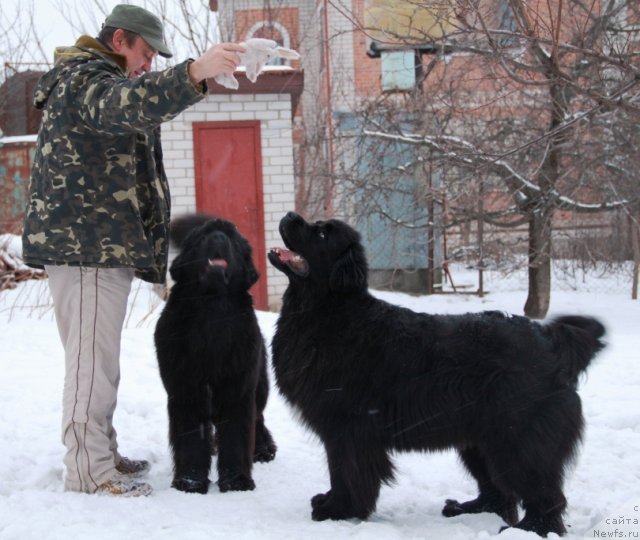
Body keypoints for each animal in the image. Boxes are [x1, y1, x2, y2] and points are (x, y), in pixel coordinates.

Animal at [156, 214, 276, 494]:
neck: (211, 310)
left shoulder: (237, 389)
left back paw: (263, 450)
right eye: (202, 236)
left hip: (259, 384)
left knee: (258, 418)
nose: (219, 237)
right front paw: (189, 481)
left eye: (231, 237)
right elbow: (191, 438)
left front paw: (236, 481)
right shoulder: (186, 390)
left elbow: (236, 436)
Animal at [268, 211, 608, 536]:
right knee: (499, 492)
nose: (289, 214)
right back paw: (467, 509)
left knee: (545, 495)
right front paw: (333, 503)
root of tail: (552, 344)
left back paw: (529, 529)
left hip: (518, 439)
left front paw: (339, 510)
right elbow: (339, 471)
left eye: (323, 234)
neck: (328, 310)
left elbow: (347, 472)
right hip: (481, 440)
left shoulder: (348, 427)